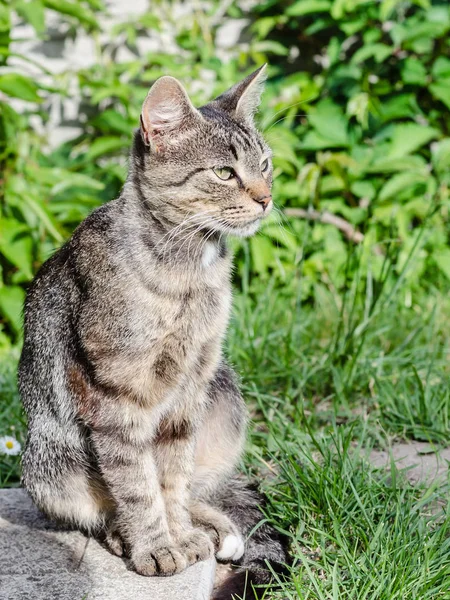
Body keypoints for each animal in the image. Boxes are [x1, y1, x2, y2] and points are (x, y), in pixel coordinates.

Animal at [18, 65, 288, 600]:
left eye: (265, 164)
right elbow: (139, 487)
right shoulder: (116, 398)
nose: (266, 199)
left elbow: (173, 479)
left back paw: (214, 527)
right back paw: (125, 536)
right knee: (100, 511)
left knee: (204, 487)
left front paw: (181, 533)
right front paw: (156, 546)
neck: (190, 270)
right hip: (47, 464)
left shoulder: (189, 390)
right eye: (224, 173)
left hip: (225, 393)